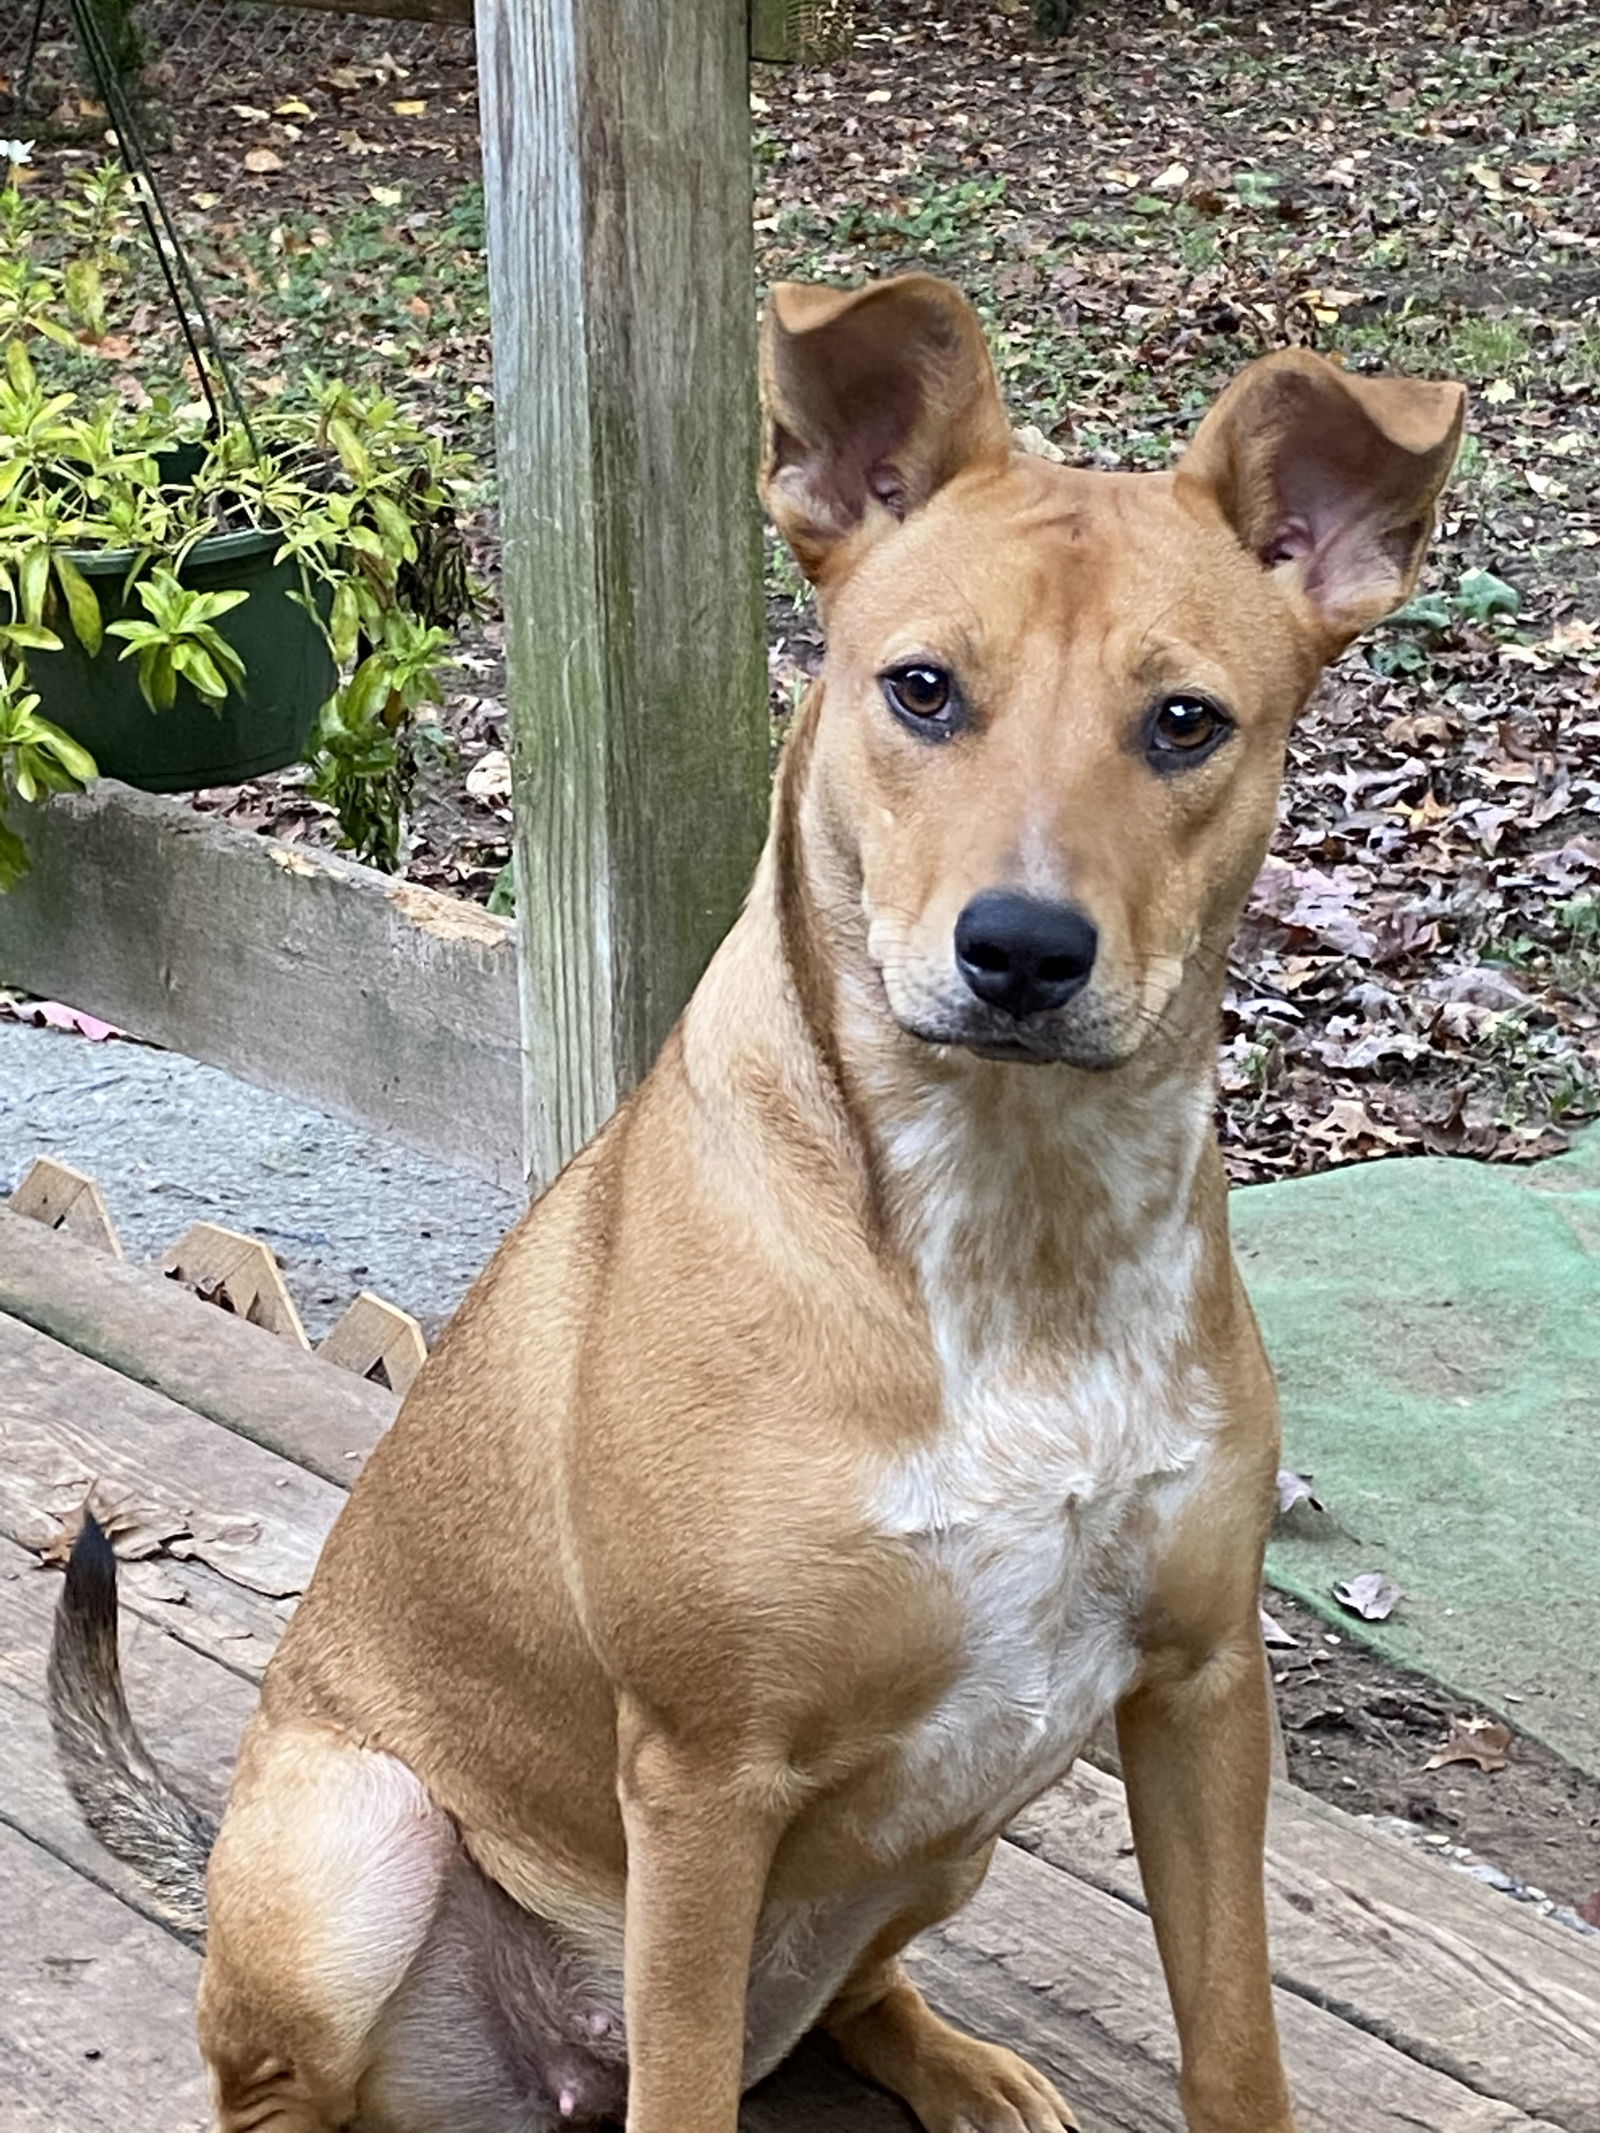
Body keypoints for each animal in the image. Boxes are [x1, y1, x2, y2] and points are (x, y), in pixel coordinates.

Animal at [50, 279, 1467, 2133]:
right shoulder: (704, 1778)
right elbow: (693, 2082)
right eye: (922, 690)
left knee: (851, 1988)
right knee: (285, 2079)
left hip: (949, 1833)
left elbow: (1236, 2039)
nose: (1023, 950)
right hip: (352, 1843)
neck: (1020, 1221)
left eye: (1186, 721)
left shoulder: (1202, 1692)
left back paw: (957, 2060)